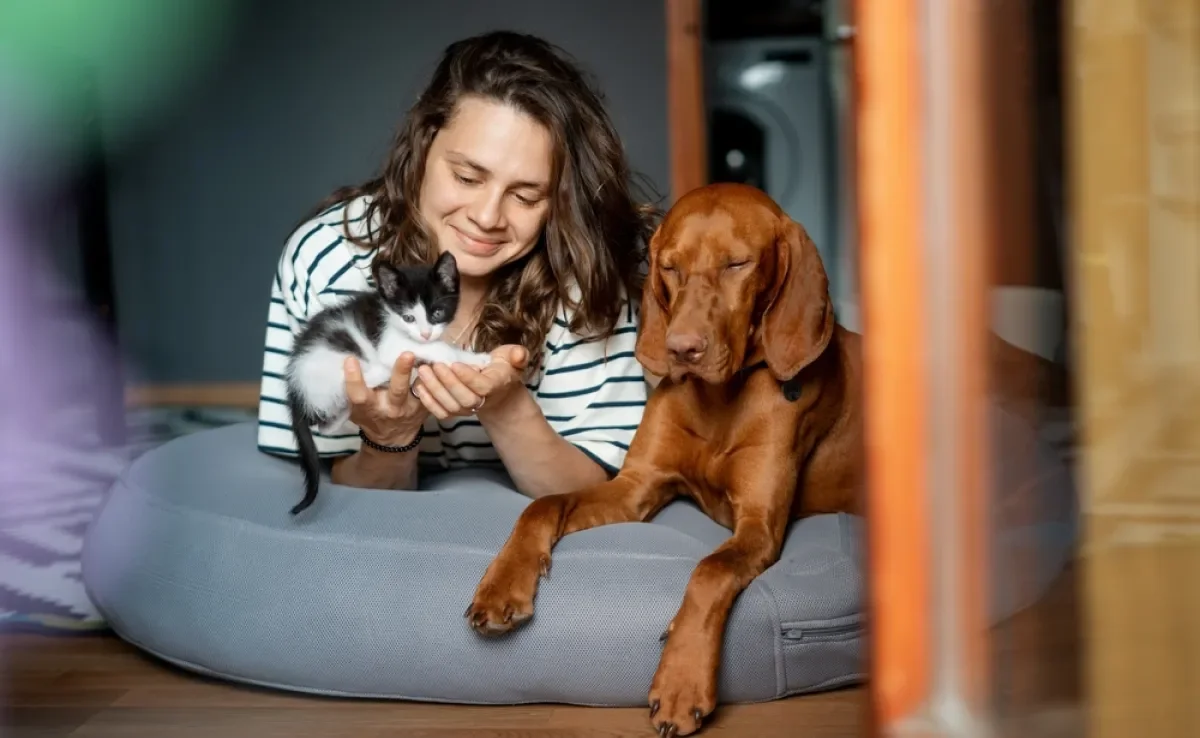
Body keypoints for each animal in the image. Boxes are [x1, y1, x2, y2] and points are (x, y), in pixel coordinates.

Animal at [284, 250, 487, 516]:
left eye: (437, 313)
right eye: (408, 317)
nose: (424, 334)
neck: (391, 314)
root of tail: (295, 386)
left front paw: (477, 358)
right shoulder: (390, 344)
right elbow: (434, 348)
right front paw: (449, 355)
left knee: (326, 423)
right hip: (338, 358)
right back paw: (383, 374)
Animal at [460, 182, 864, 734]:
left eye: (738, 263)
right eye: (670, 267)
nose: (681, 349)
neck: (721, 399)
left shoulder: (759, 527)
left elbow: (710, 570)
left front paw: (680, 682)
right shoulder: (636, 487)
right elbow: (544, 505)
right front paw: (503, 584)